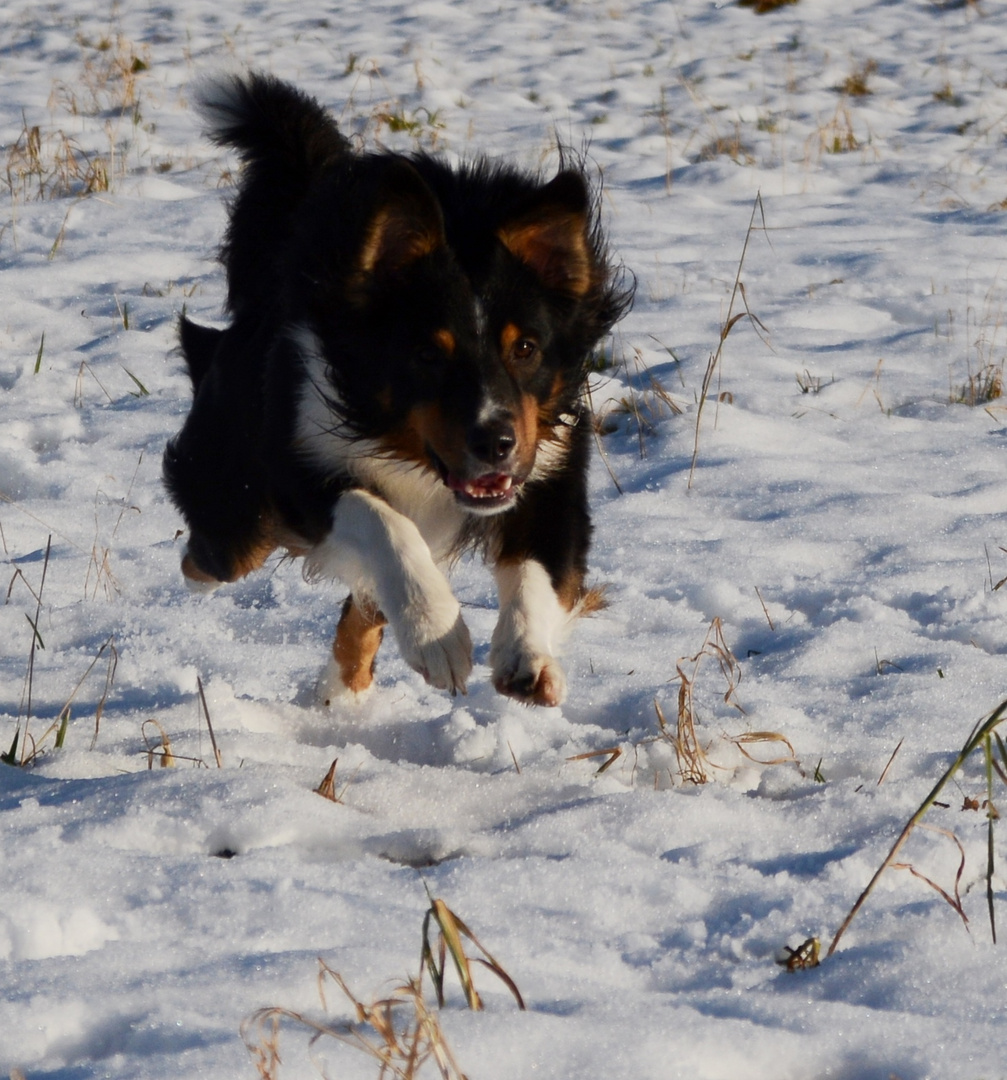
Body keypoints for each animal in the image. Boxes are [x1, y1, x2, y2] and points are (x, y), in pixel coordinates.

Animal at [165, 71, 635, 704]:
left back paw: (340, 692)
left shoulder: (550, 471)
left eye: (526, 348)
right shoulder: (296, 465)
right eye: (427, 354)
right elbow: (381, 521)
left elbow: (539, 567)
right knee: (214, 555)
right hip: (233, 509)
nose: (496, 444)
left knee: (360, 611)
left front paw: (526, 657)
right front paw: (437, 632)